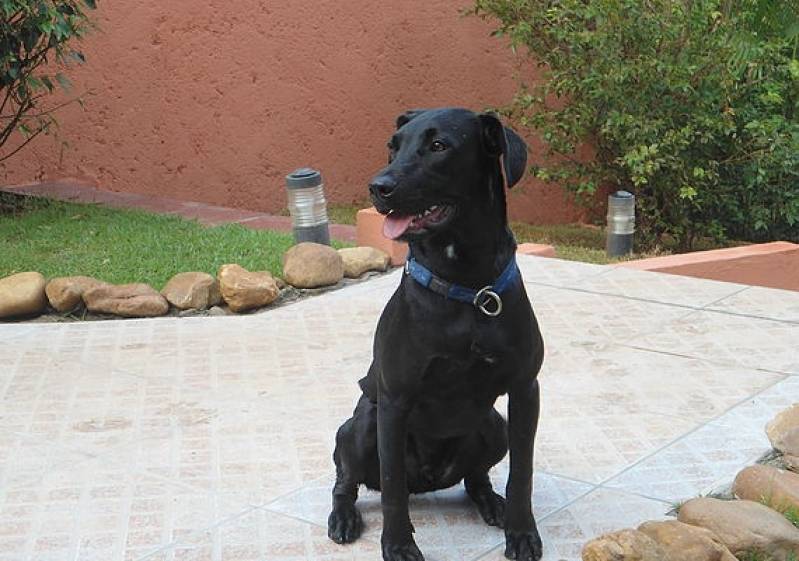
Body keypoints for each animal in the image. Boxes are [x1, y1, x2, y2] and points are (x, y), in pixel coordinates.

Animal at [328, 108, 548, 560]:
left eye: (438, 145)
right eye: (392, 146)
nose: (378, 187)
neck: (467, 286)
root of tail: (427, 482)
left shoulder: (525, 389)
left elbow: (523, 472)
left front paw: (521, 532)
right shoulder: (395, 401)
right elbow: (391, 487)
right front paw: (398, 544)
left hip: (494, 426)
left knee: (476, 478)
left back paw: (492, 503)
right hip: (360, 427)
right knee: (346, 480)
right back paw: (343, 517)